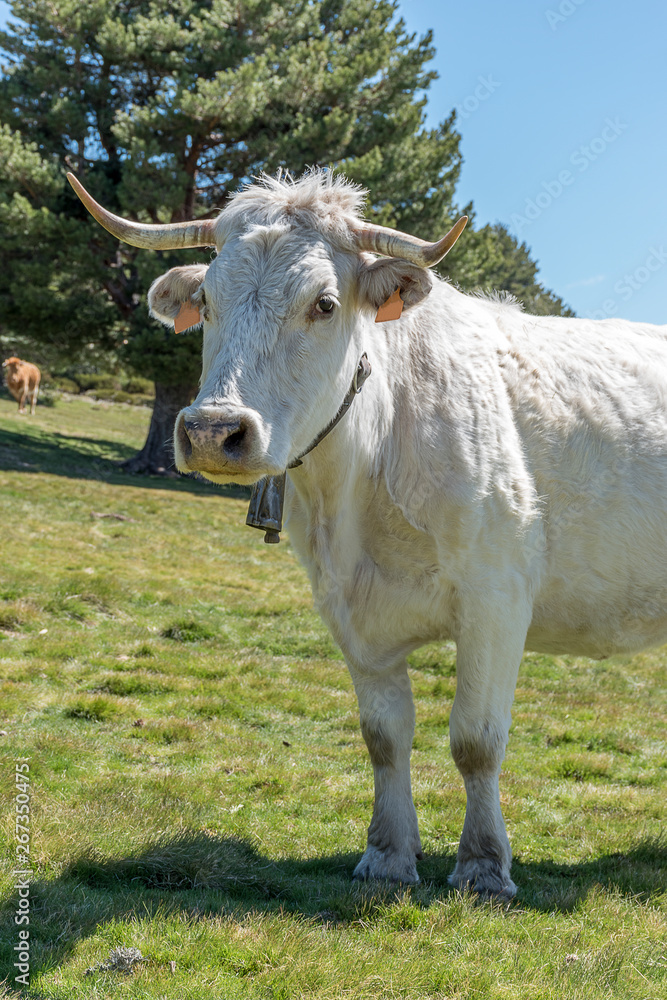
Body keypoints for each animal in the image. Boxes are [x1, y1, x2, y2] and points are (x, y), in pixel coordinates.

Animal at [69, 168, 667, 896]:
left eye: (325, 303)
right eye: (205, 300)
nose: (213, 431)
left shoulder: (497, 599)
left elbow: (476, 740)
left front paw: (483, 866)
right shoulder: (348, 607)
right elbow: (383, 736)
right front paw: (387, 856)